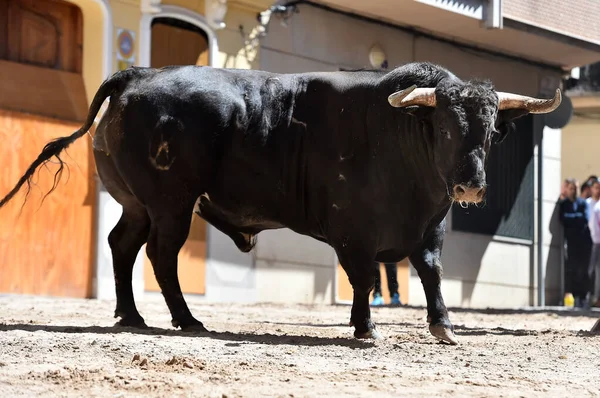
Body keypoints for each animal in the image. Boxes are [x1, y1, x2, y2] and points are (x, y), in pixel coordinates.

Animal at [1, 62, 564, 346]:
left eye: (490, 132)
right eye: (445, 127)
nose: (470, 187)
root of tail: (138, 75)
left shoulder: (431, 229)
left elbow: (430, 272)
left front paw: (444, 325)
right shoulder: (353, 232)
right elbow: (363, 278)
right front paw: (365, 327)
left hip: (138, 203)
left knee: (122, 245)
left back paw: (131, 315)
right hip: (171, 203)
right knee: (160, 254)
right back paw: (185, 319)